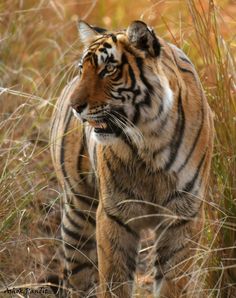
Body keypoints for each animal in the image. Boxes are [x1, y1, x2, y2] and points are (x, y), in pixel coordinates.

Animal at [49, 20, 214, 298]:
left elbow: (172, 281)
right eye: (83, 69)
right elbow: (114, 280)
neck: (151, 141)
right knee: (79, 273)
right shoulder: (115, 214)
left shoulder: (182, 216)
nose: (75, 106)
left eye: (108, 69)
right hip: (77, 210)